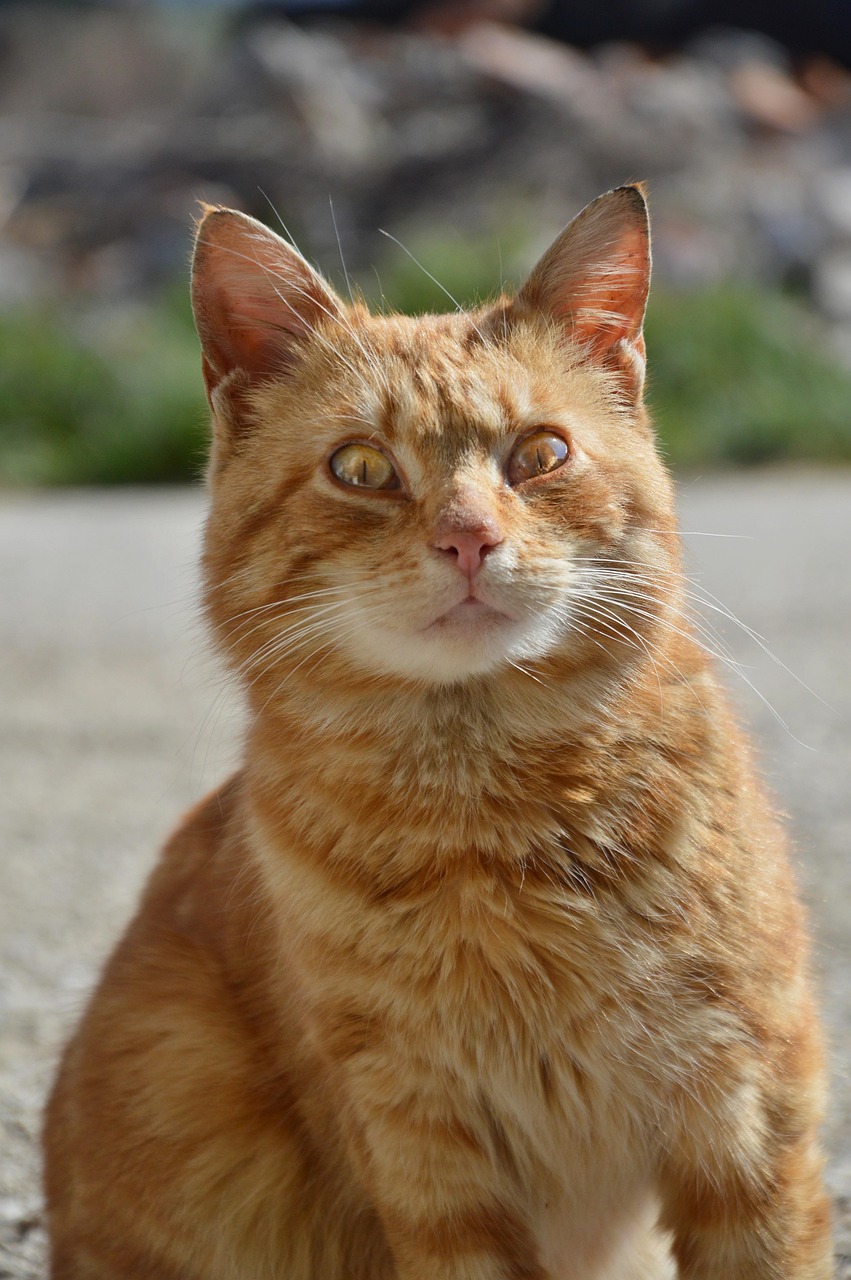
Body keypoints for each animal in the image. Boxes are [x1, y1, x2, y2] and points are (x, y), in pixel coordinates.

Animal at [44, 186, 829, 1280]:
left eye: (539, 455)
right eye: (361, 468)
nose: (468, 537)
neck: (493, 827)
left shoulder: (749, 1117)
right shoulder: (427, 1157)